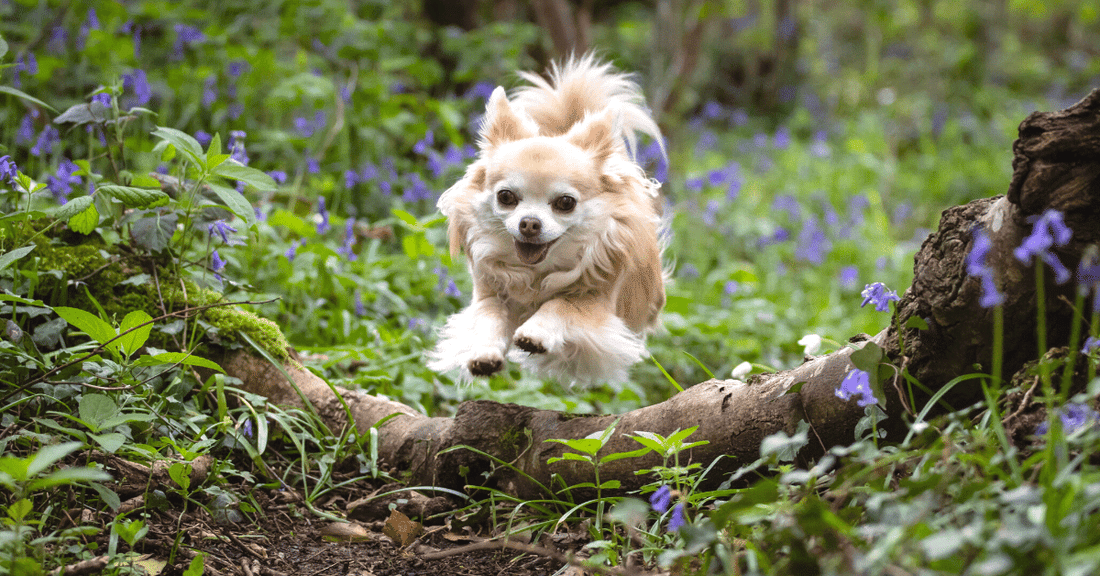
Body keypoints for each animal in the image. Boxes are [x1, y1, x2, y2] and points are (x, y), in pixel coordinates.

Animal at [426, 55, 668, 386]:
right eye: (506, 197)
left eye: (565, 203)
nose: (529, 223)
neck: (536, 274)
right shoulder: (489, 294)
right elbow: (489, 316)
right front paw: (483, 353)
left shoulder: (597, 306)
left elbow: (562, 303)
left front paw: (535, 333)